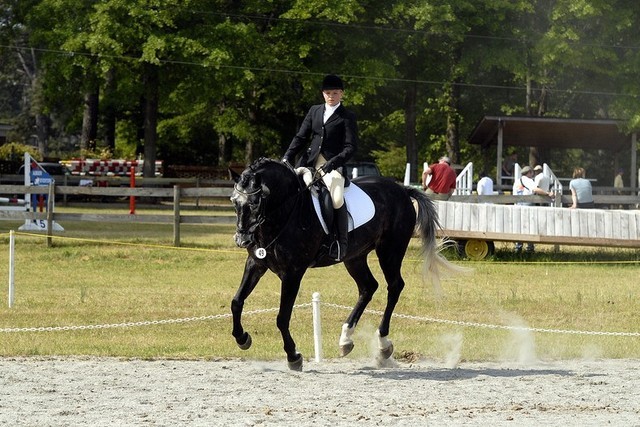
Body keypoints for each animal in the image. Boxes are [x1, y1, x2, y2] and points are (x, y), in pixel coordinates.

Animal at [230, 158, 460, 372]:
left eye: (255, 203)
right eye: (234, 202)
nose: (242, 240)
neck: (286, 211)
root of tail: (402, 190)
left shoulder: (293, 272)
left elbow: (282, 317)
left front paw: (293, 356)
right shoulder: (256, 263)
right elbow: (236, 302)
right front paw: (242, 338)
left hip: (390, 251)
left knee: (394, 286)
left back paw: (382, 344)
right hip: (355, 258)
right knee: (368, 287)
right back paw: (346, 339)